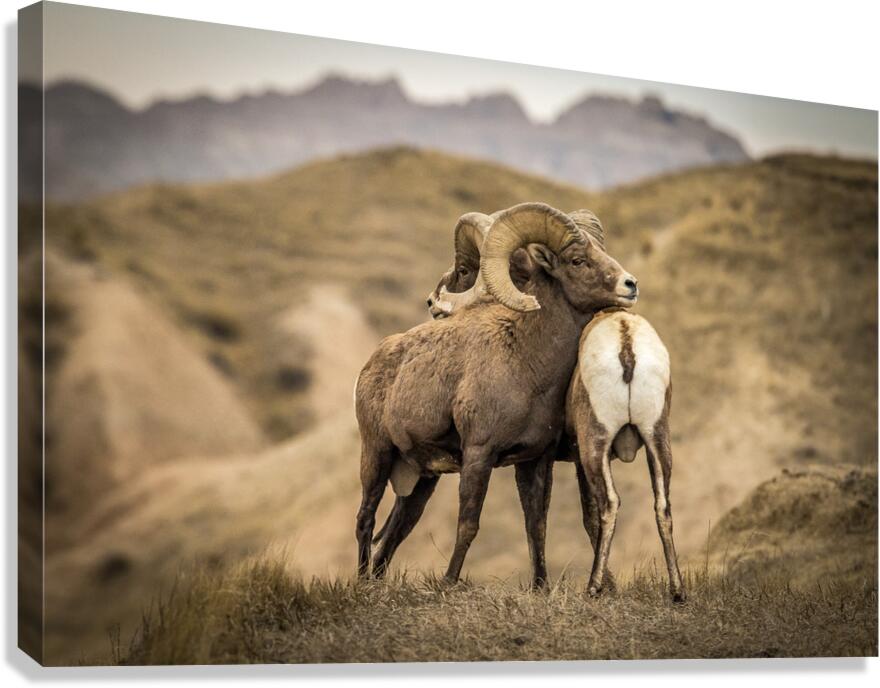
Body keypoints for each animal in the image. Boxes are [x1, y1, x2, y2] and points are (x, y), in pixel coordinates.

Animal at [355, 202, 638, 586]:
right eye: (577, 260)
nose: (630, 285)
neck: (528, 365)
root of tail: (372, 362)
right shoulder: (479, 454)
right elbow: (468, 524)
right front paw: (448, 583)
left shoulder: (535, 460)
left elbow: (537, 526)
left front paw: (541, 587)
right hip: (376, 455)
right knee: (365, 520)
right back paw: (360, 583)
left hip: (421, 480)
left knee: (397, 531)